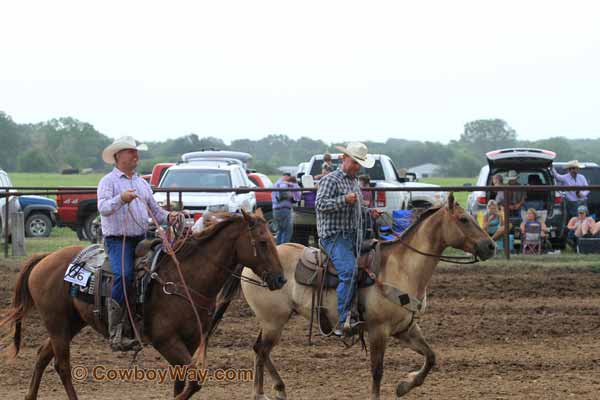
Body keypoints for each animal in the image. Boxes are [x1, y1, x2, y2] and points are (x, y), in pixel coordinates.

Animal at [0, 209, 286, 400]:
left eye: (273, 239)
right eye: (262, 242)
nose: (281, 279)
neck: (184, 279)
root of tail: (45, 257)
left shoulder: (190, 341)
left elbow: (182, 382)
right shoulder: (166, 340)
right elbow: (193, 382)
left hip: (71, 323)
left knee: (43, 355)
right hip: (58, 323)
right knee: (62, 365)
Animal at [241, 192, 494, 398]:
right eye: (463, 219)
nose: (490, 246)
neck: (402, 268)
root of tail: (250, 266)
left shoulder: (406, 329)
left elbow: (431, 357)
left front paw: (405, 385)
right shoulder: (378, 331)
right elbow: (377, 371)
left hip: (271, 321)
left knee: (258, 349)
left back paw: (274, 389)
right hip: (274, 321)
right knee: (262, 350)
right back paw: (264, 392)